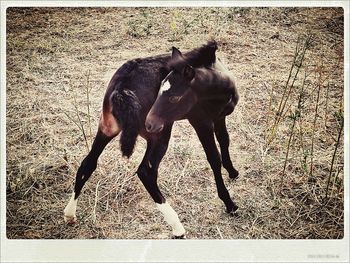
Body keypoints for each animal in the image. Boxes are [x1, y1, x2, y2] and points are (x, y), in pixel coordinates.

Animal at [63, 41, 238, 239]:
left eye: (174, 97)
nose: (150, 123)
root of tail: (122, 88)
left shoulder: (219, 117)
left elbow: (225, 140)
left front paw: (233, 172)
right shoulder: (201, 122)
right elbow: (213, 158)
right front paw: (229, 203)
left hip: (107, 128)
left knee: (88, 163)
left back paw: (69, 214)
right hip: (159, 134)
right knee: (146, 171)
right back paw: (177, 227)